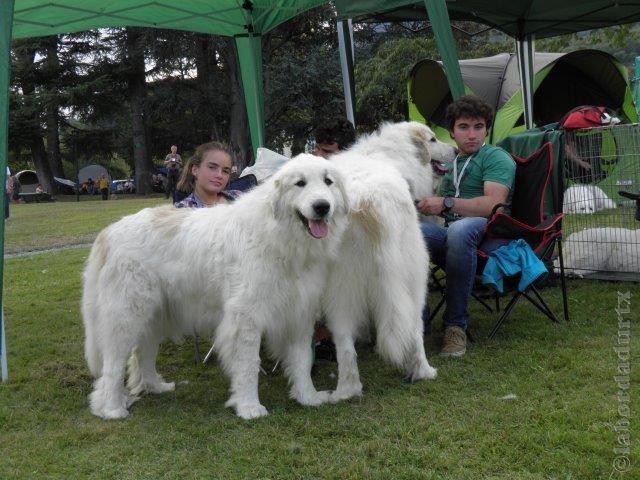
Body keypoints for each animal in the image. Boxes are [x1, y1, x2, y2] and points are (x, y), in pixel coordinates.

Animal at [83, 155, 350, 420]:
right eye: (300, 183)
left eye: (328, 182)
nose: (322, 206)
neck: (282, 238)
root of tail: (110, 231)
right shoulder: (245, 318)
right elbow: (248, 366)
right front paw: (249, 407)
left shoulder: (299, 313)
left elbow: (302, 361)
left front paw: (308, 397)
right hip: (126, 317)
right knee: (113, 367)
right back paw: (112, 408)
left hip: (154, 316)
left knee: (142, 354)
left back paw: (155, 386)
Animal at [324, 122, 456, 404]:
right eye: (432, 139)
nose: (457, 149)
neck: (388, 154)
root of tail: (367, 201)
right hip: (414, 274)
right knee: (415, 328)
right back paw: (423, 371)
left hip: (338, 287)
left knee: (344, 342)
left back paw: (346, 390)